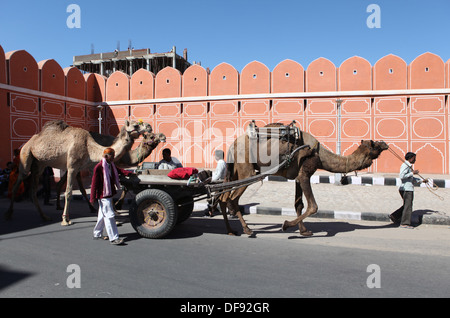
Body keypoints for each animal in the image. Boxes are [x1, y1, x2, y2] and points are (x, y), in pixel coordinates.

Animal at [4, 120, 148, 226]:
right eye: (136, 125)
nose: (148, 126)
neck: (89, 147)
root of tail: (30, 141)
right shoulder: (72, 166)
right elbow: (68, 192)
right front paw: (65, 220)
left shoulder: (83, 167)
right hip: (26, 156)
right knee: (19, 182)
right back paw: (9, 214)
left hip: (39, 164)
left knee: (33, 190)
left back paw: (44, 216)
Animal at [216, 121, 388, 236]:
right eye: (374, 145)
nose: (385, 144)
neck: (320, 154)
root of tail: (231, 146)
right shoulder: (305, 172)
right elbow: (313, 206)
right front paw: (286, 225)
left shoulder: (298, 177)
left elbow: (298, 204)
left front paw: (304, 230)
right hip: (246, 169)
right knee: (233, 199)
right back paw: (247, 229)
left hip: (235, 171)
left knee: (223, 198)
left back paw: (231, 230)